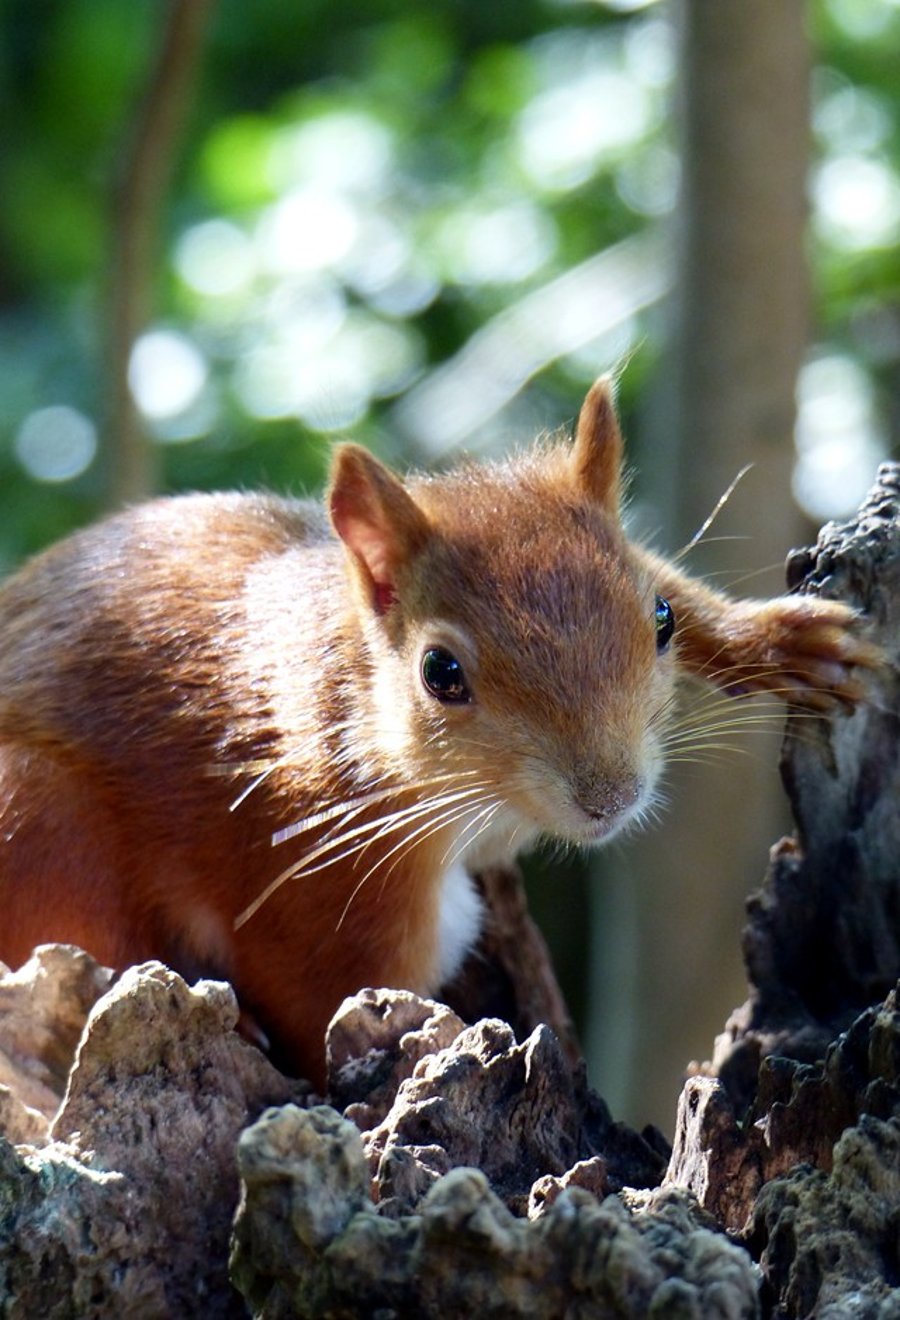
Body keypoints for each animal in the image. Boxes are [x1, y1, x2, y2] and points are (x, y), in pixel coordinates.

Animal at [0, 378, 880, 1086]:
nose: (611, 797)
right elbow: (322, 1025)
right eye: (440, 673)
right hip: (43, 826)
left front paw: (782, 641)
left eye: (659, 619)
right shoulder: (323, 910)